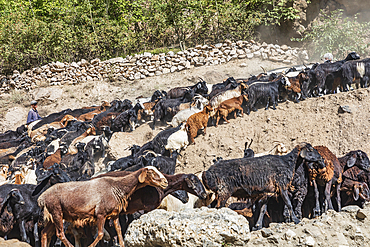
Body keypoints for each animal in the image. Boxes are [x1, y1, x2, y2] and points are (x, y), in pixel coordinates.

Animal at [38, 166, 167, 247]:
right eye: (151, 172)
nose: (165, 182)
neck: (116, 186)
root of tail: (42, 197)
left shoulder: (114, 214)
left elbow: (119, 230)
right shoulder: (100, 213)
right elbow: (100, 234)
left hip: (53, 216)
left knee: (44, 233)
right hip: (56, 211)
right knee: (60, 234)